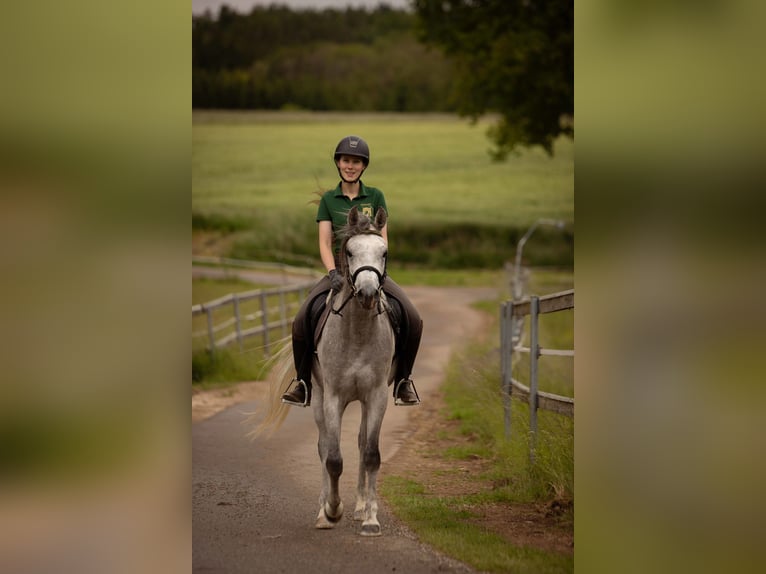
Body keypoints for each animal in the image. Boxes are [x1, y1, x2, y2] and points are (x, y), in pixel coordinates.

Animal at [252, 205, 396, 537]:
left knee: (360, 443)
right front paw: (331, 510)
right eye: (350, 251)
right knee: (323, 448)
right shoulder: (332, 398)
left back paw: (360, 507)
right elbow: (332, 458)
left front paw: (370, 519)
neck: (358, 332)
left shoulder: (376, 396)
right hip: (318, 399)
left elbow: (371, 454)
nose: (368, 293)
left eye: (383, 252)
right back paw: (323, 512)